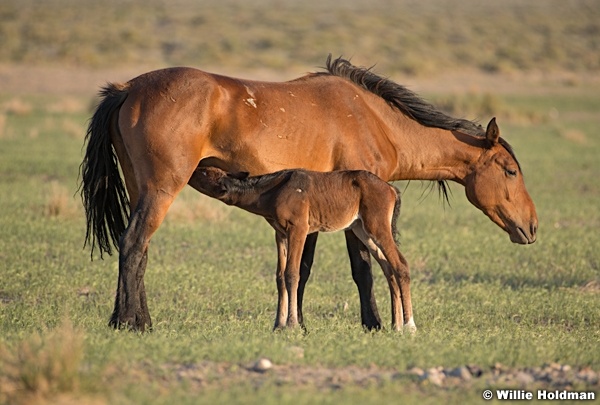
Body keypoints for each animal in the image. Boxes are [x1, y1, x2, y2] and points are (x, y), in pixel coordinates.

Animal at [190, 165, 414, 332]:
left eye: (204, 172)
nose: (193, 168)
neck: (272, 190)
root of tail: (391, 189)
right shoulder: (280, 234)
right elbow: (280, 277)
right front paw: (278, 325)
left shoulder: (298, 229)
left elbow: (292, 274)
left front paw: (291, 325)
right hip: (362, 230)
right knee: (388, 268)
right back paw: (396, 325)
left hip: (377, 228)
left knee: (400, 265)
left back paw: (409, 326)